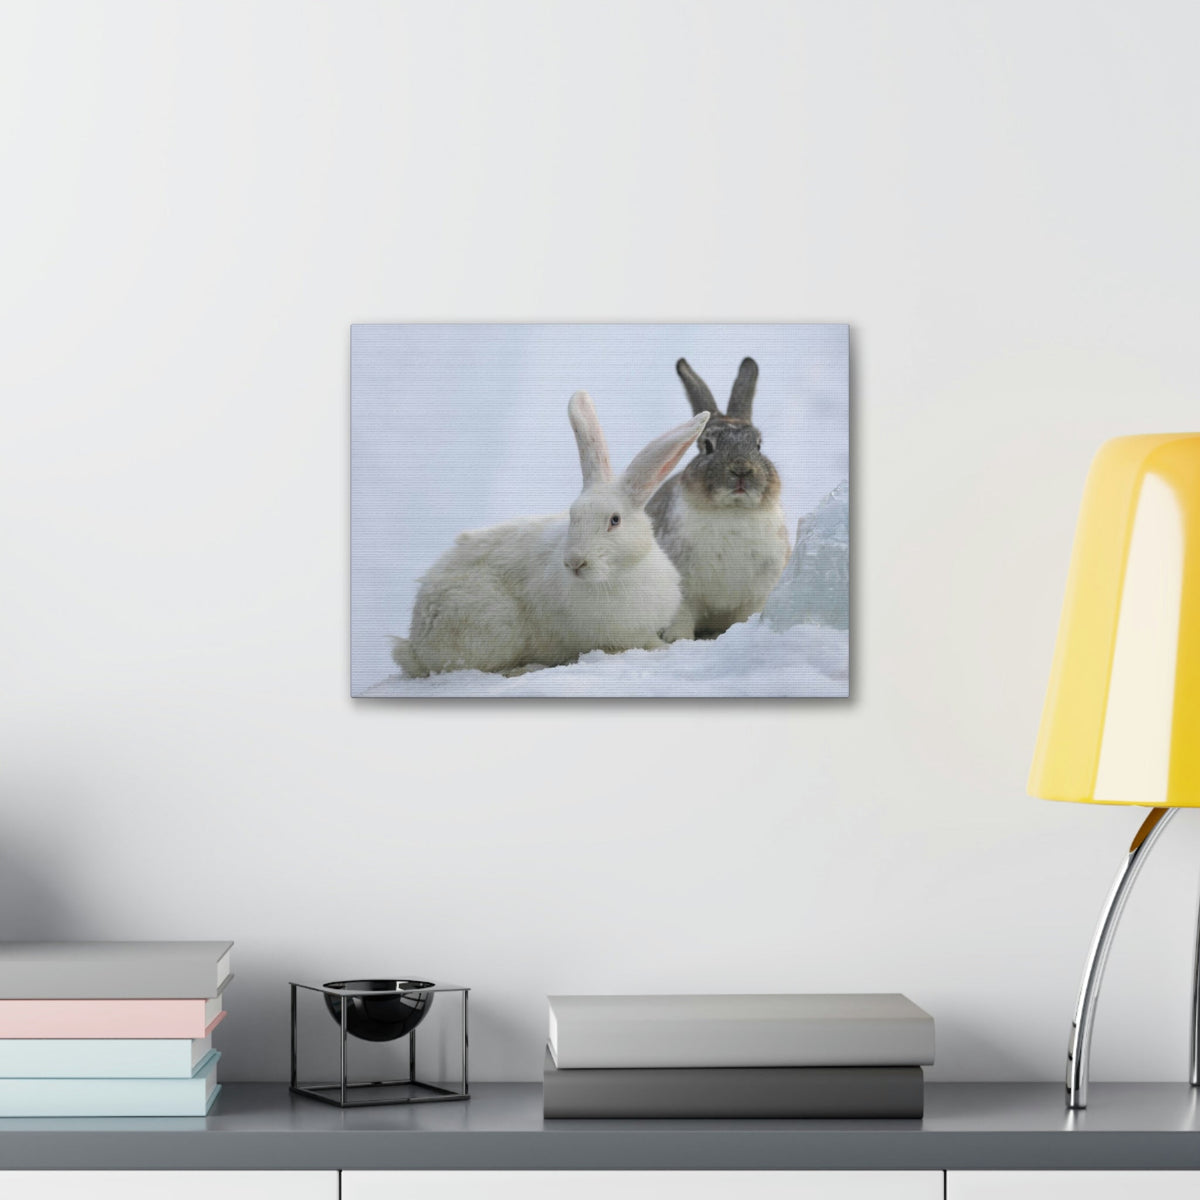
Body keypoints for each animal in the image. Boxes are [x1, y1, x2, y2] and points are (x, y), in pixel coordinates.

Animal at [391, 391, 710, 677]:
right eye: (572, 516)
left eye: (614, 520)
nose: (574, 563)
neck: (618, 574)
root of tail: (416, 645)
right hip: (491, 624)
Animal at [646, 357, 791, 638]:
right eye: (707, 446)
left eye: (758, 445)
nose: (741, 469)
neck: (732, 510)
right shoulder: (683, 593)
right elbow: (681, 620)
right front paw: (677, 640)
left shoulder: (756, 595)